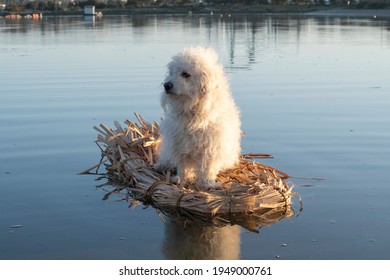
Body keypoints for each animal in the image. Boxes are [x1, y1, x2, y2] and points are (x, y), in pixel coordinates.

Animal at [155, 46, 241, 188]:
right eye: (171, 73)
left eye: (185, 74)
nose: (166, 85)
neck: (192, 113)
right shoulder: (180, 145)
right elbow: (182, 167)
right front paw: (180, 179)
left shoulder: (211, 148)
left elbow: (207, 169)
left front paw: (207, 184)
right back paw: (161, 165)